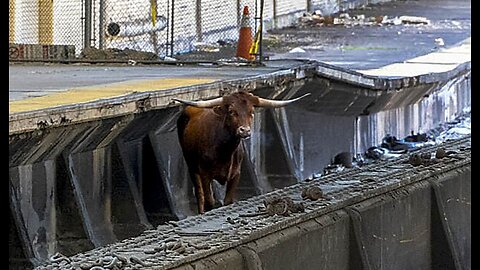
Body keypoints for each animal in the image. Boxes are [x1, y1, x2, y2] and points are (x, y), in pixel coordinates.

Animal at [174, 92, 310, 214]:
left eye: (251, 112)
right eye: (231, 111)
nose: (244, 130)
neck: (223, 151)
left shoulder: (236, 174)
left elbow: (228, 201)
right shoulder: (205, 174)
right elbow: (209, 201)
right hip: (192, 167)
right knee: (199, 194)